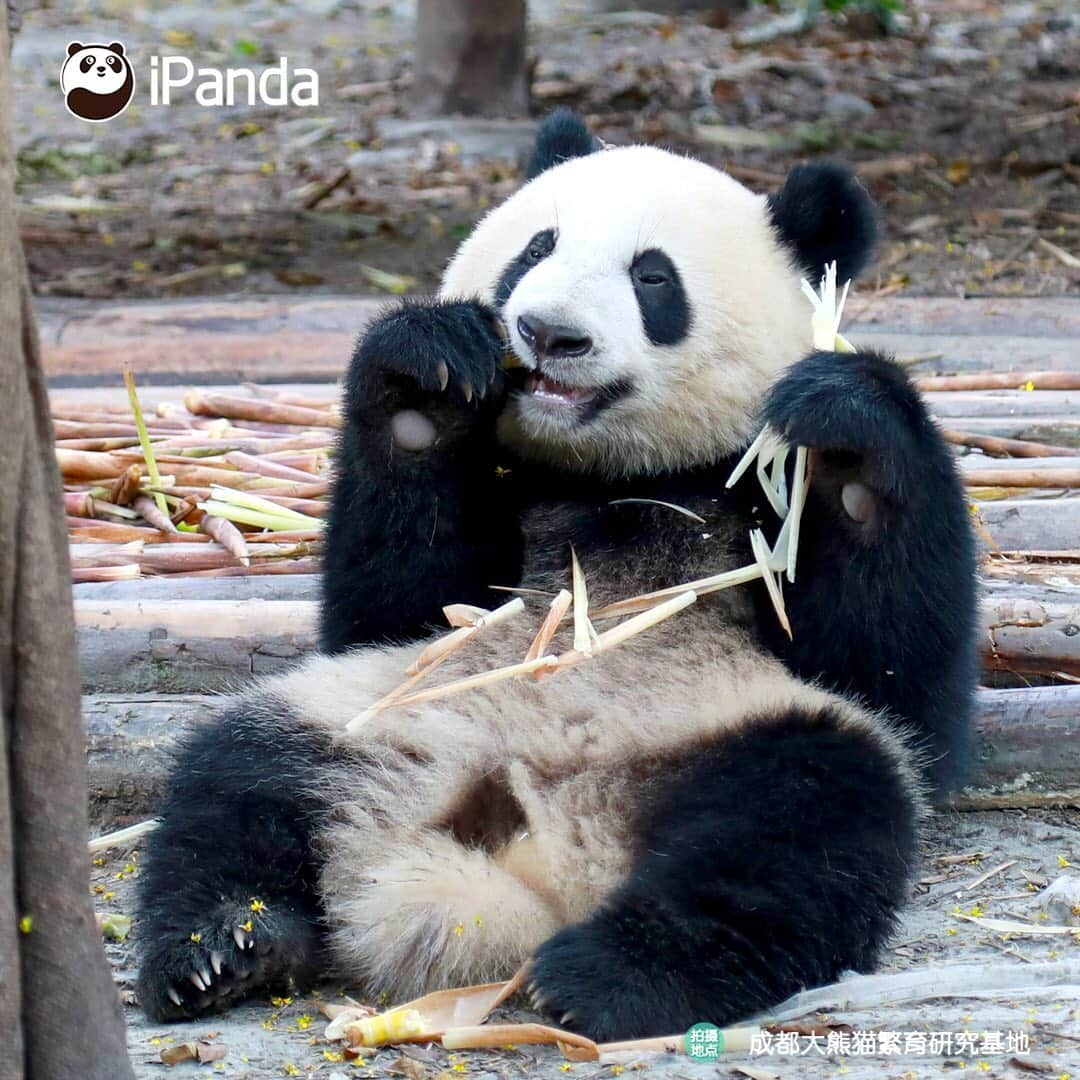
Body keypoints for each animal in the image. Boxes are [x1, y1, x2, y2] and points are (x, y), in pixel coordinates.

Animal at [135, 111, 980, 1045]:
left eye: (653, 277)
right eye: (536, 247)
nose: (547, 333)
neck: (614, 476)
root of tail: (537, 851)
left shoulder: (757, 505)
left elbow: (896, 682)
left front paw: (850, 440)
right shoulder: (487, 542)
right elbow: (393, 603)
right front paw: (424, 381)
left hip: (724, 725)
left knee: (806, 820)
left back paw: (606, 975)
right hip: (376, 715)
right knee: (238, 780)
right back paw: (225, 946)